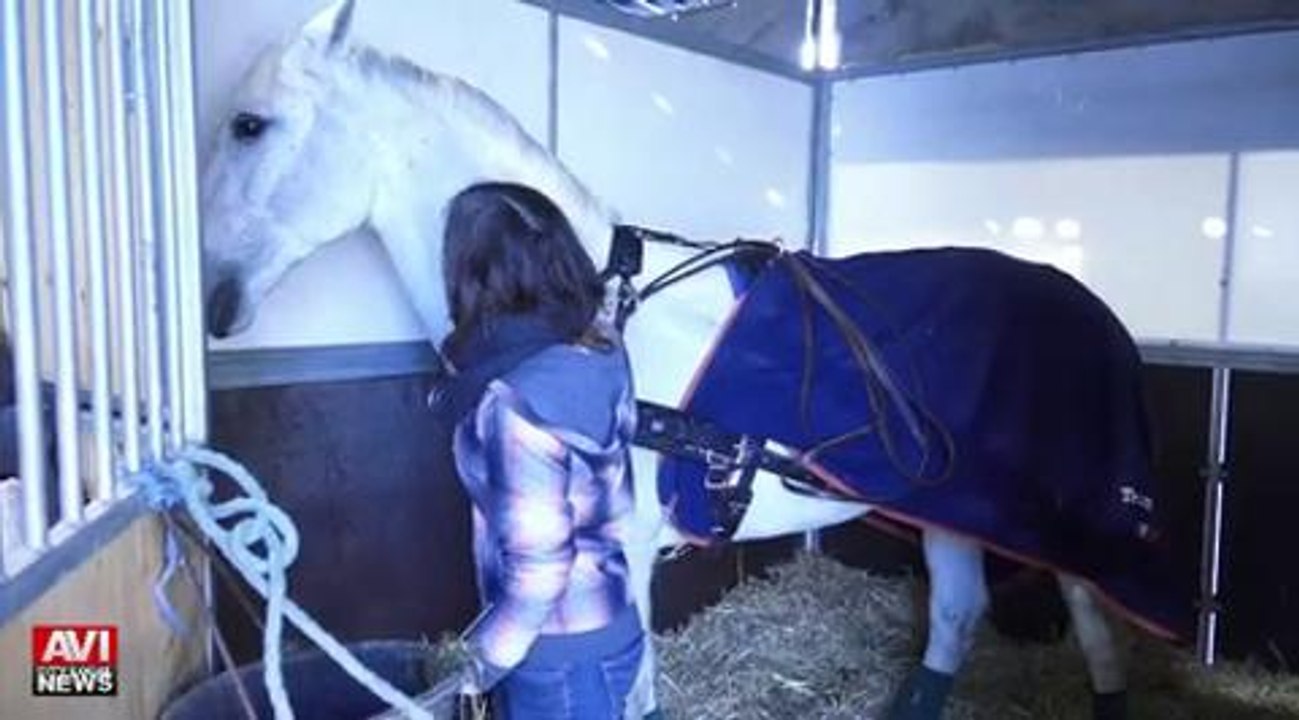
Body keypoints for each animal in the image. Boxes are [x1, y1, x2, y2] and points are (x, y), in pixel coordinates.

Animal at [198, 2, 1188, 718]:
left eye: (248, 125)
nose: (210, 299)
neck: (583, 313)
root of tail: (1087, 307)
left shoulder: (623, 555)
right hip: (947, 500)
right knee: (954, 611)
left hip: (1061, 525)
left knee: (1093, 626)